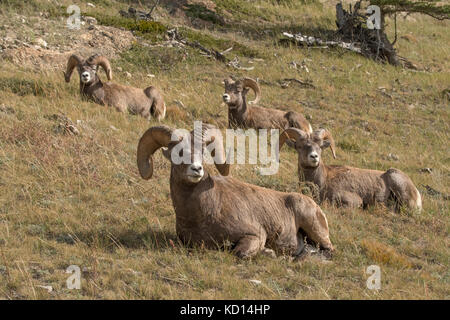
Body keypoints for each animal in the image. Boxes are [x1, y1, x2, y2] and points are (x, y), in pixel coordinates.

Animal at [137, 124, 334, 258]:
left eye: (203, 152)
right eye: (177, 153)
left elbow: (238, 253)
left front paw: (268, 252)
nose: (197, 169)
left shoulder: (254, 235)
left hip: (315, 229)